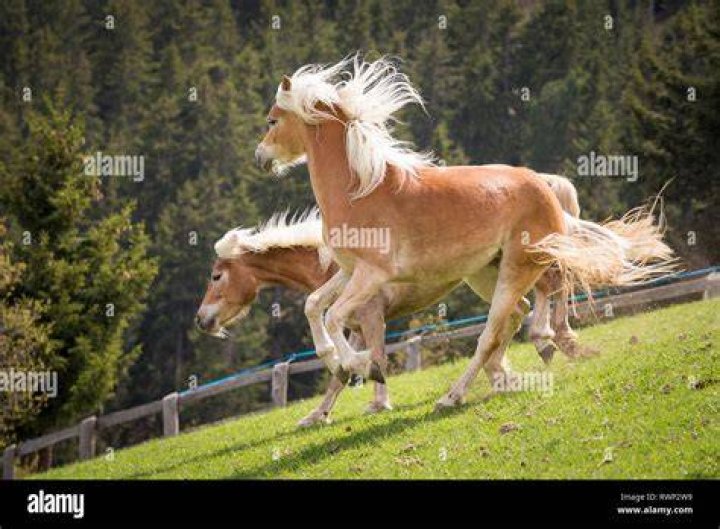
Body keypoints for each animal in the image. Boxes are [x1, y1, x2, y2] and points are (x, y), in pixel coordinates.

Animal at [254, 55, 676, 412]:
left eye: (273, 120)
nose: (260, 158)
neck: (360, 189)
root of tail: (542, 187)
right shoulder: (348, 272)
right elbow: (314, 306)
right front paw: (336, 361)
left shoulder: (372, 275)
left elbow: (334, 316)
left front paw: (361, 365)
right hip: (487, 270)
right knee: (520, 313)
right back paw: (510, 372)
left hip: (519, 266)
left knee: (496, 328)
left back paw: (455, 394)